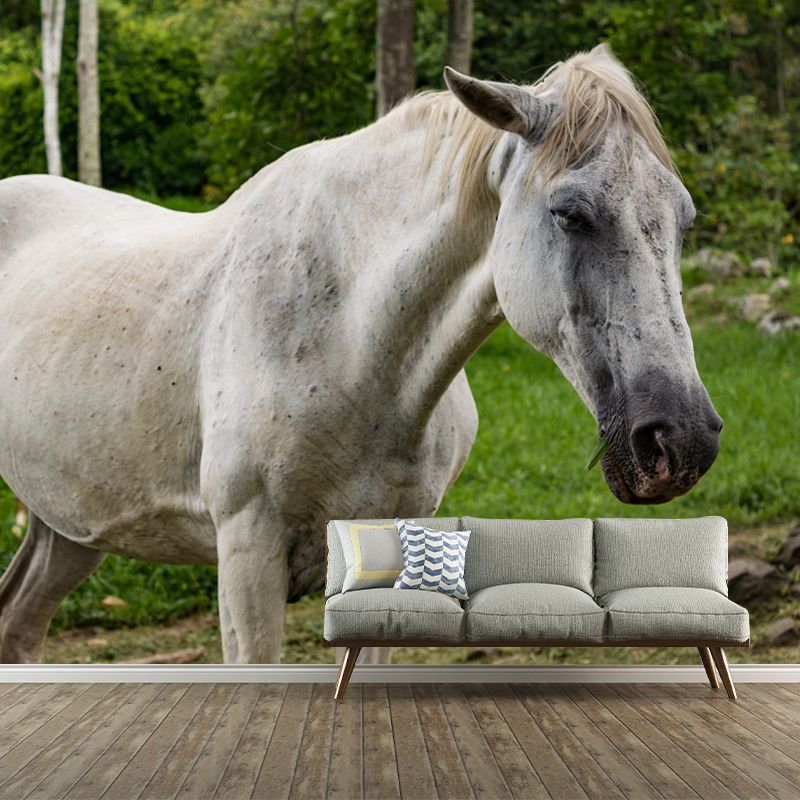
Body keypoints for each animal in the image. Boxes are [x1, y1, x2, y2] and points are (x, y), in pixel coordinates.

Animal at [0, 44, 722, 663]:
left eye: (684, 220)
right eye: (570, 213)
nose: (680, 440)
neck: (354, 346)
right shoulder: (247, 552)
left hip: (67, 525)